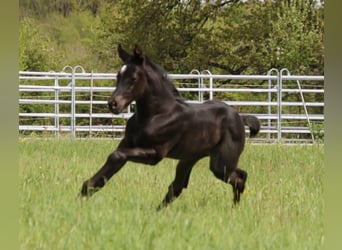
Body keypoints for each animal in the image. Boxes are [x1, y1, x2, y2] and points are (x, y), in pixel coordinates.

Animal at [81, 45, 260, 209]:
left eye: (133, 78)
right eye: (118, 76)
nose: (113, 104)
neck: (156, 115)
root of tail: (240, 117)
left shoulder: (156, 154)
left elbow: (117, 156)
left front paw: (85, 191)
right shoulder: (127, 144)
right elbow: (115, 158)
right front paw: (85, 190)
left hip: (221, 163)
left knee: (239, 177)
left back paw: (234, 209)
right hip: (189, 159)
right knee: (178, 186)